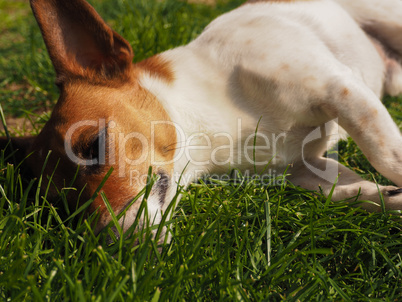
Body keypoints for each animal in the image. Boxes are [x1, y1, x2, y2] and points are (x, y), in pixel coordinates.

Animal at [0, 0, 402, 239]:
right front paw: (388, 198)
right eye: (62, 205)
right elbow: (347, 190)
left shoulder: (339, 88)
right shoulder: (302, 166)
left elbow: (387, 156)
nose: (111, 246)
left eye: (92, 146)